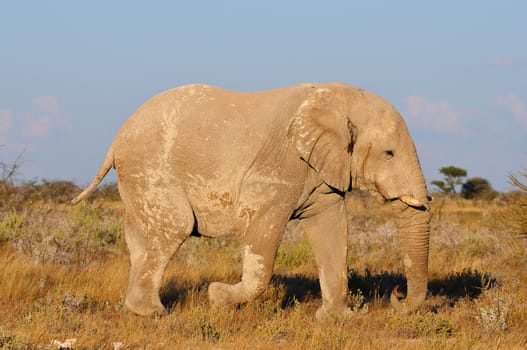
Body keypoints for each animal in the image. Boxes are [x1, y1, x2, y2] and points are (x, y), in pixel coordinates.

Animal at [72, 83, 432, 318]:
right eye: (389, 153)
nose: (397, 295)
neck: (337, 97)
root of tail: (117, 138)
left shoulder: (322, 174)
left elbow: (331, 230)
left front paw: (337, 320)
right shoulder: (279, 167)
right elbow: (262, 233)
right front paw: (217, 295)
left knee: (141, 237)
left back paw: (139, 309)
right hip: (149, 168)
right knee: (174, 227)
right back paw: (154, 314)